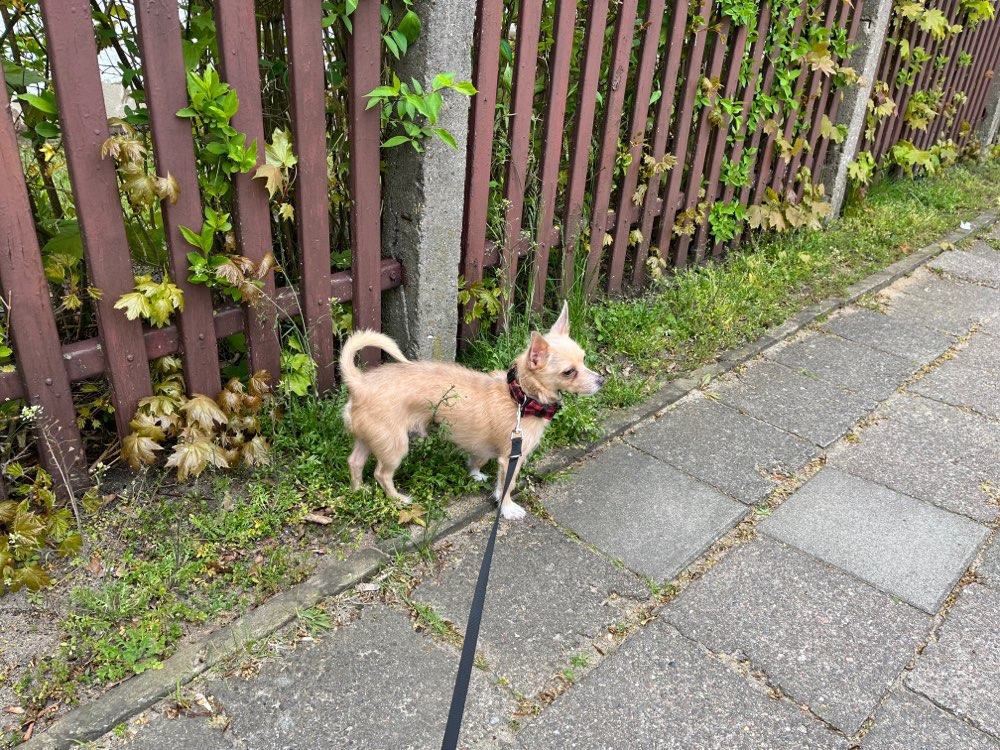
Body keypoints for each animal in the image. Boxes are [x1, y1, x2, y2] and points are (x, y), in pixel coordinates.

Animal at [338, 302, 600, 520]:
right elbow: (507, 485)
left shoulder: (483, 446)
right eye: (569, 372)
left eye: (584, 359)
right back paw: (399, 499)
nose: (602, 380)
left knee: (355, 462)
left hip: (370, 438)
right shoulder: (512, 458)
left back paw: (358, 491)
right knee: (381, 474)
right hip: (394, 446)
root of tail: (359, 384)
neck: (520, 397)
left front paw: (475, 475)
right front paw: (507, 508)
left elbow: (478, 459)